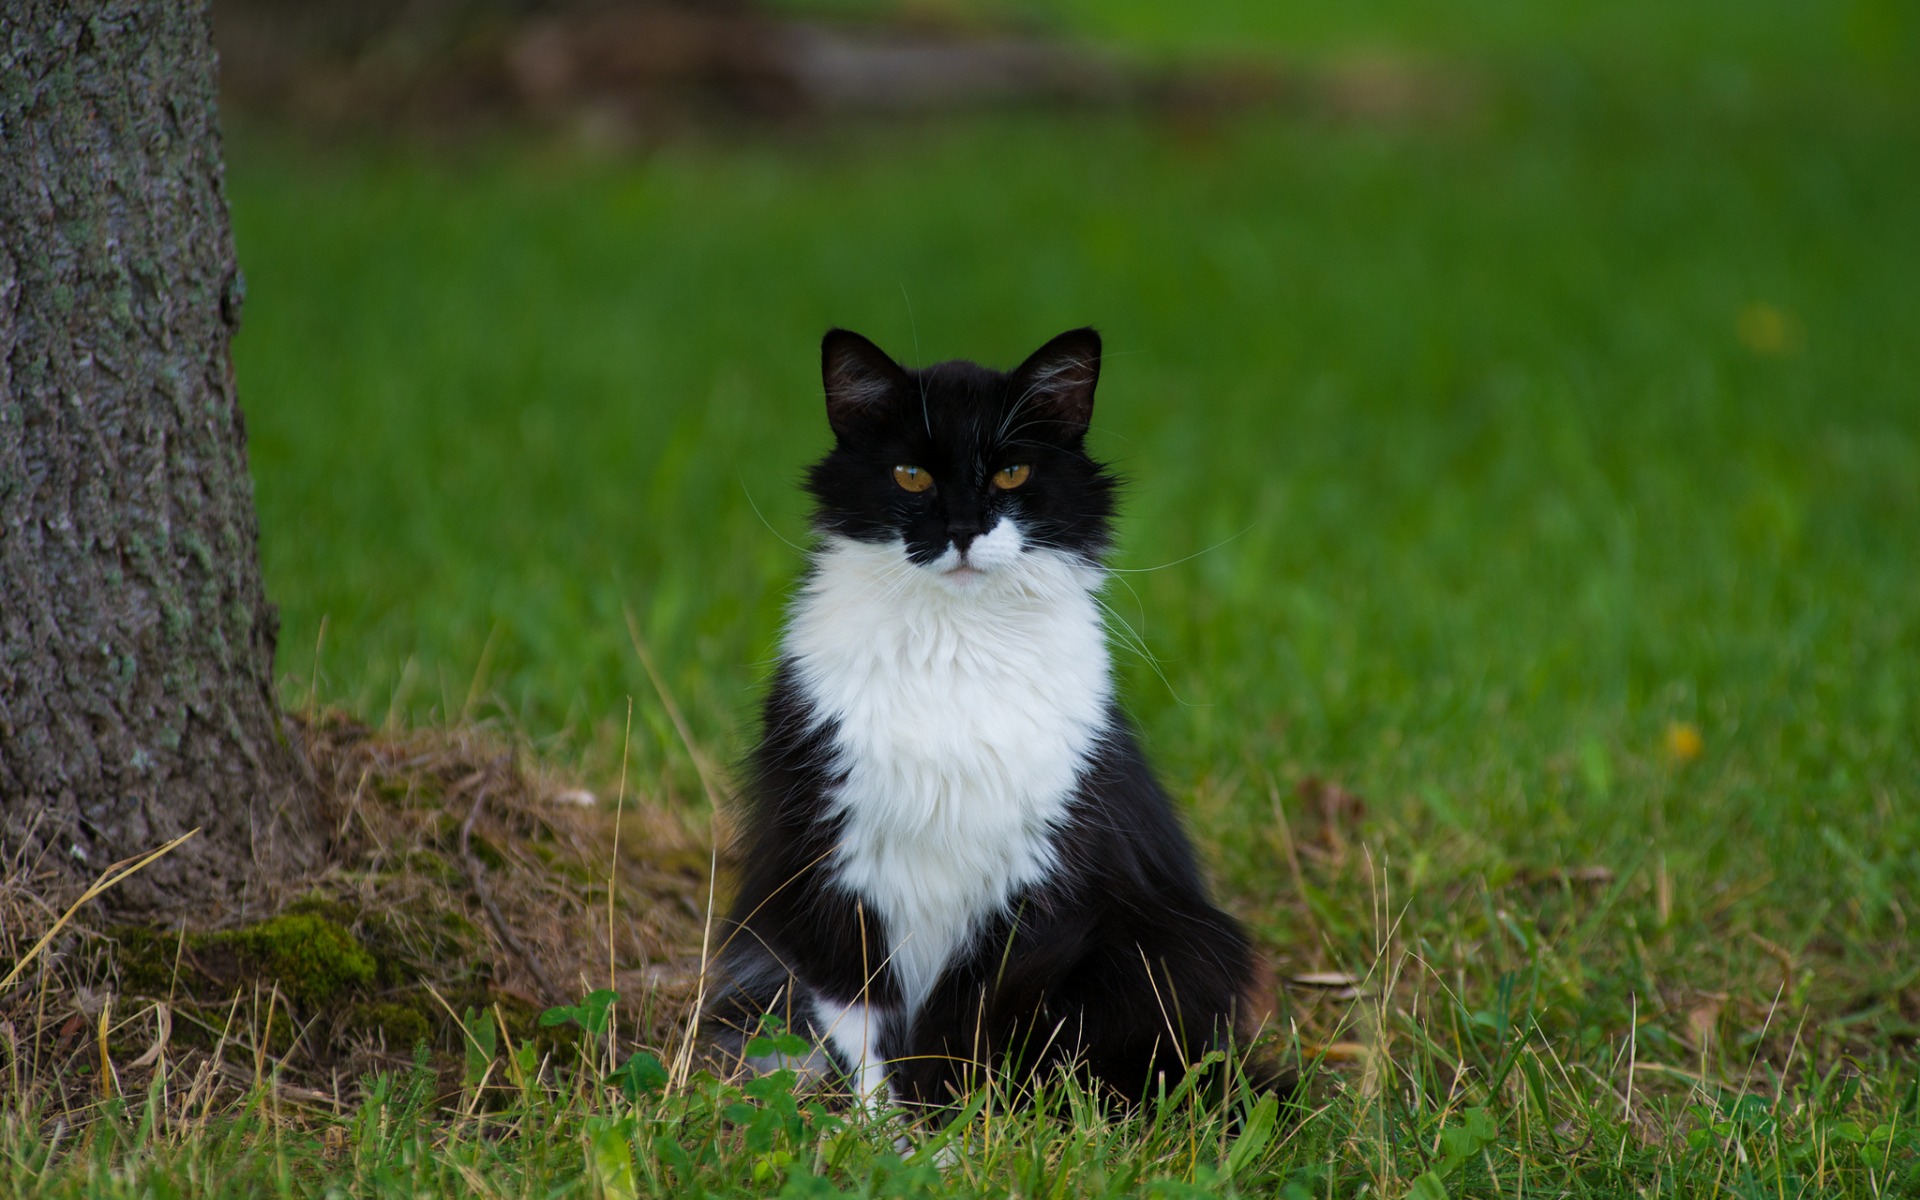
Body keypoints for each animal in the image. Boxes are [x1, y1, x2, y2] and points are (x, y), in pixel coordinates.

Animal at [702, 322, 1274, 1105]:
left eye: (1011, 475)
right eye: (912, 476)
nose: (966, 529)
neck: (956, 646)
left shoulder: (1038, 884)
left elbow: (971, 1023)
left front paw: (959, 1130)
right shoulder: (828, 865)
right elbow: (864, 1031)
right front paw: (881, 1134)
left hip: (1174, 949)